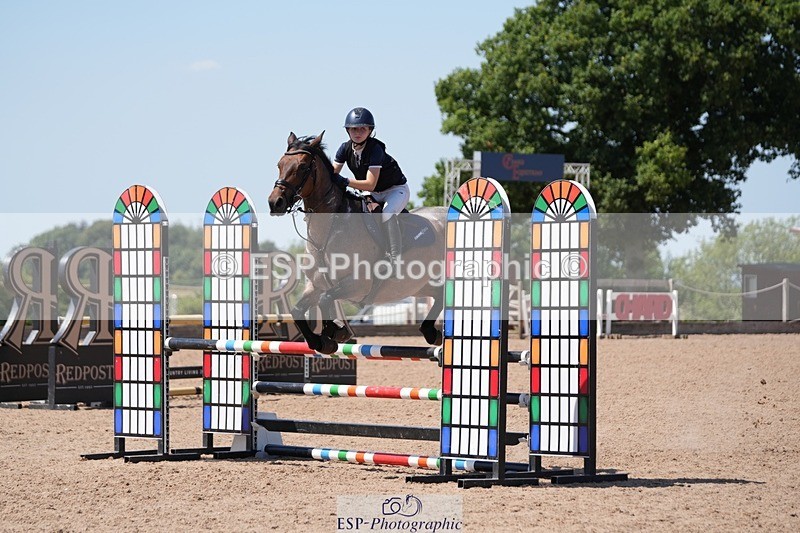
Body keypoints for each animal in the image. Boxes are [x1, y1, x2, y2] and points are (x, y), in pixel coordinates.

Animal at [267, 131, 446, 354]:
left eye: (302, 167)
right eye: (279, 164)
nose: (275, 203)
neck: (330, 230)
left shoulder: (358, 283)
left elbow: (326, 299)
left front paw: (335, 332)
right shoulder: (315, 284)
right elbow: (298, 310)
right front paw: (323, 341)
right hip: (421, 284)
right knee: (439, 295)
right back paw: (431, 333)